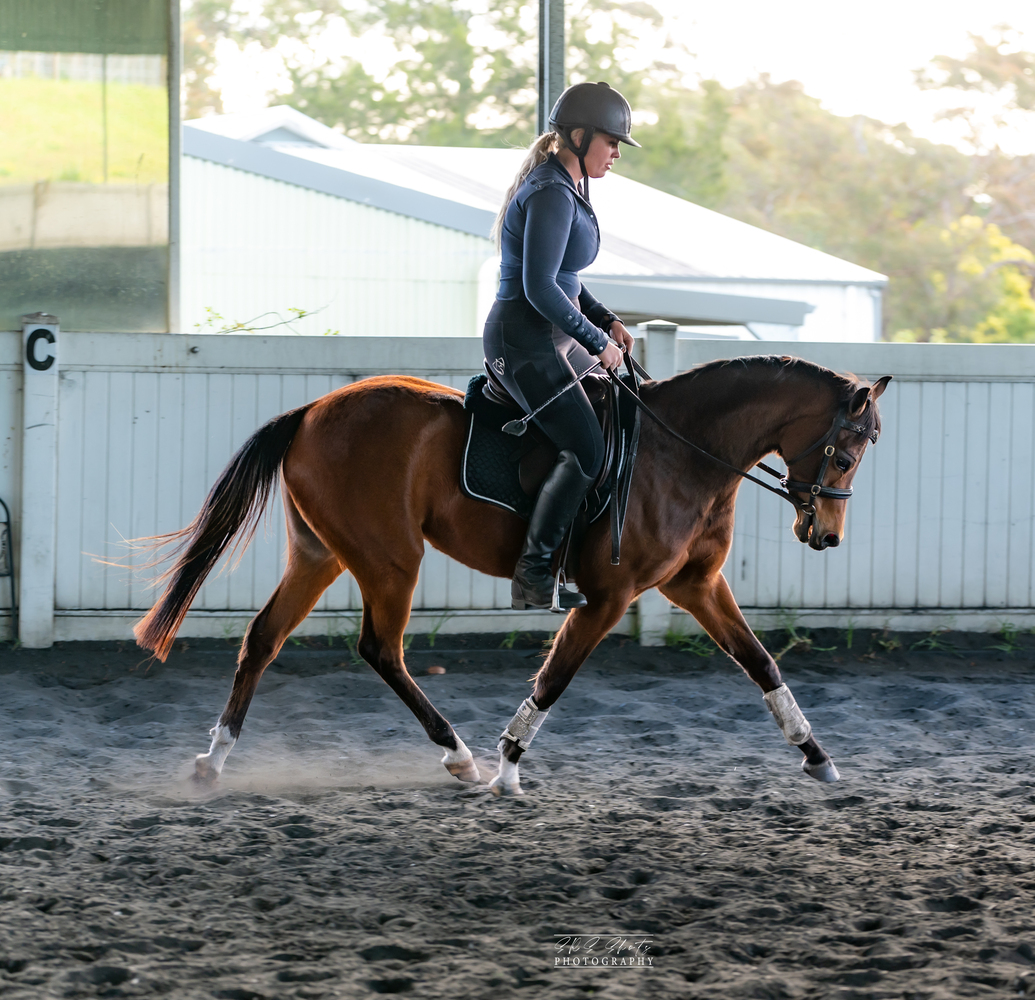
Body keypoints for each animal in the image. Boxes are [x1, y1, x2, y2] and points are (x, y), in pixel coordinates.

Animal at [134, 355, 891, 795]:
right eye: (846, 454)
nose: (825, 535)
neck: (680, 453)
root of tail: (311, 412)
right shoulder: (608, 597)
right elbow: (553, 679)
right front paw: (507, 765)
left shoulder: (695, 585)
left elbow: (761, 662)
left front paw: (816, 756)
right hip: (389, 558)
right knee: (381, 649)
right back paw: (461, 757)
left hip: (320, 554)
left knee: (263, 639)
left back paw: (215, 761)